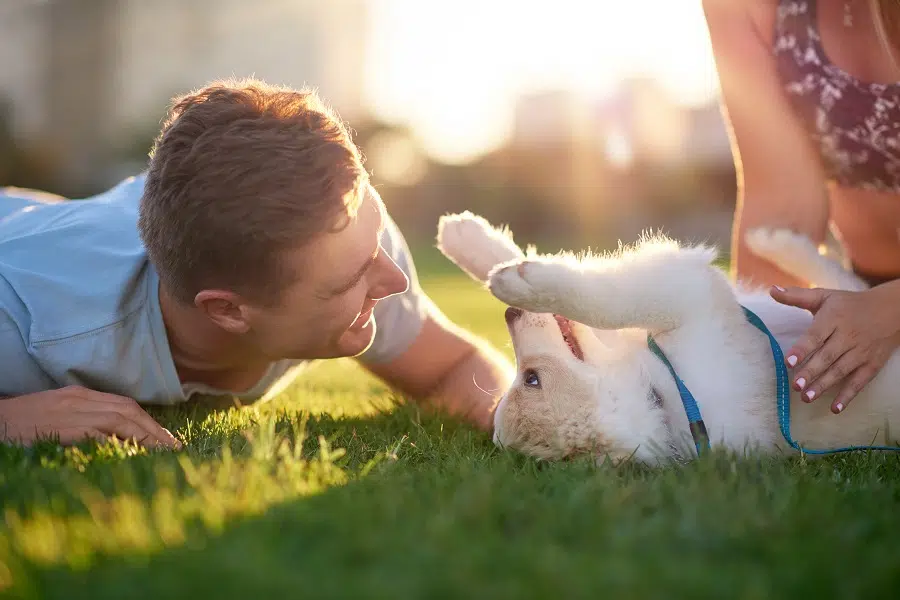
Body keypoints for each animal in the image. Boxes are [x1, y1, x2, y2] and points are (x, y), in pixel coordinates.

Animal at [436, 214, 900, 464]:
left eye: (530, 379)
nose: (509, 314)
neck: (665, 385)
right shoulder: (690, 295)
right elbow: (603, 296)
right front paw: (509, 277)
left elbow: (593, 294)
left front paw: (475, 247)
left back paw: (778, 244)